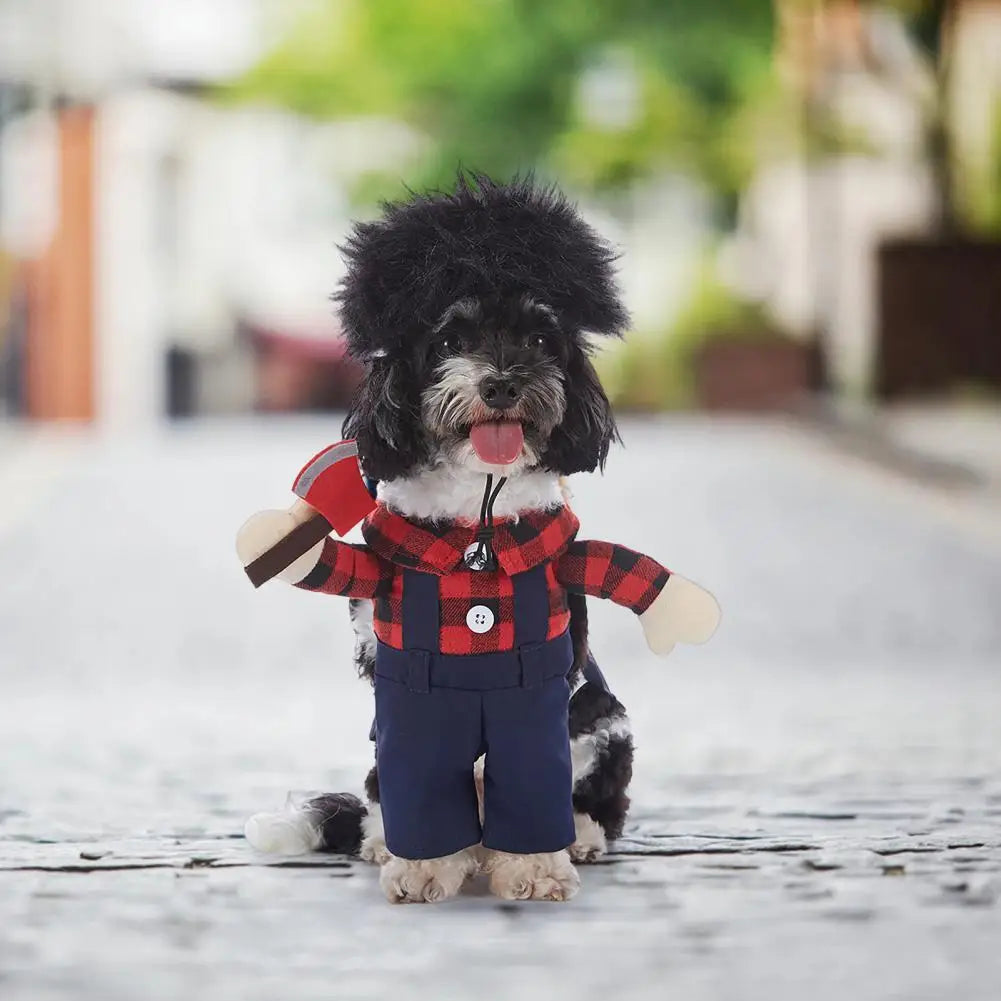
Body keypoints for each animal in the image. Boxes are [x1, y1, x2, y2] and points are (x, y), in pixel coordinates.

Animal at [235, 176, 720, 904]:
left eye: (541, 337)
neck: (476, 532)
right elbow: (420, 780)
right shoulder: (405, 691)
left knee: (592, 800)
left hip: (601, 723)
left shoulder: (540, 686)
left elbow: (525, 779)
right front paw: (422, 866)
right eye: (446, 342)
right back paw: (386, 840)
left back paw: (574, 836)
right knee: (381, 796)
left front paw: (534, 868)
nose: (500, 383)